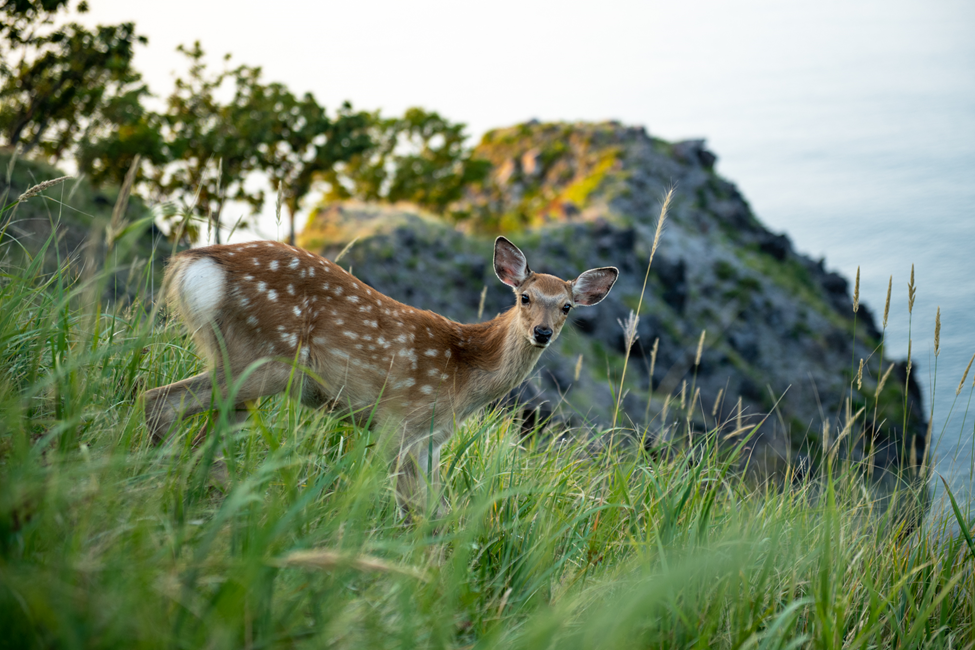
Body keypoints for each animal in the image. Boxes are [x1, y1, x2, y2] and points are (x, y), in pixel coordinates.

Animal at [145, 235, 616, 508]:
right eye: (524, 297)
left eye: (567, 307)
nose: (542, 332)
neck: (465, 373)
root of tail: (196, 264)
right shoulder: (399, 421)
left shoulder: (430, 441)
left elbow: (436, 510)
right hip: (262, 356)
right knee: (162, 400)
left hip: (241, 365)